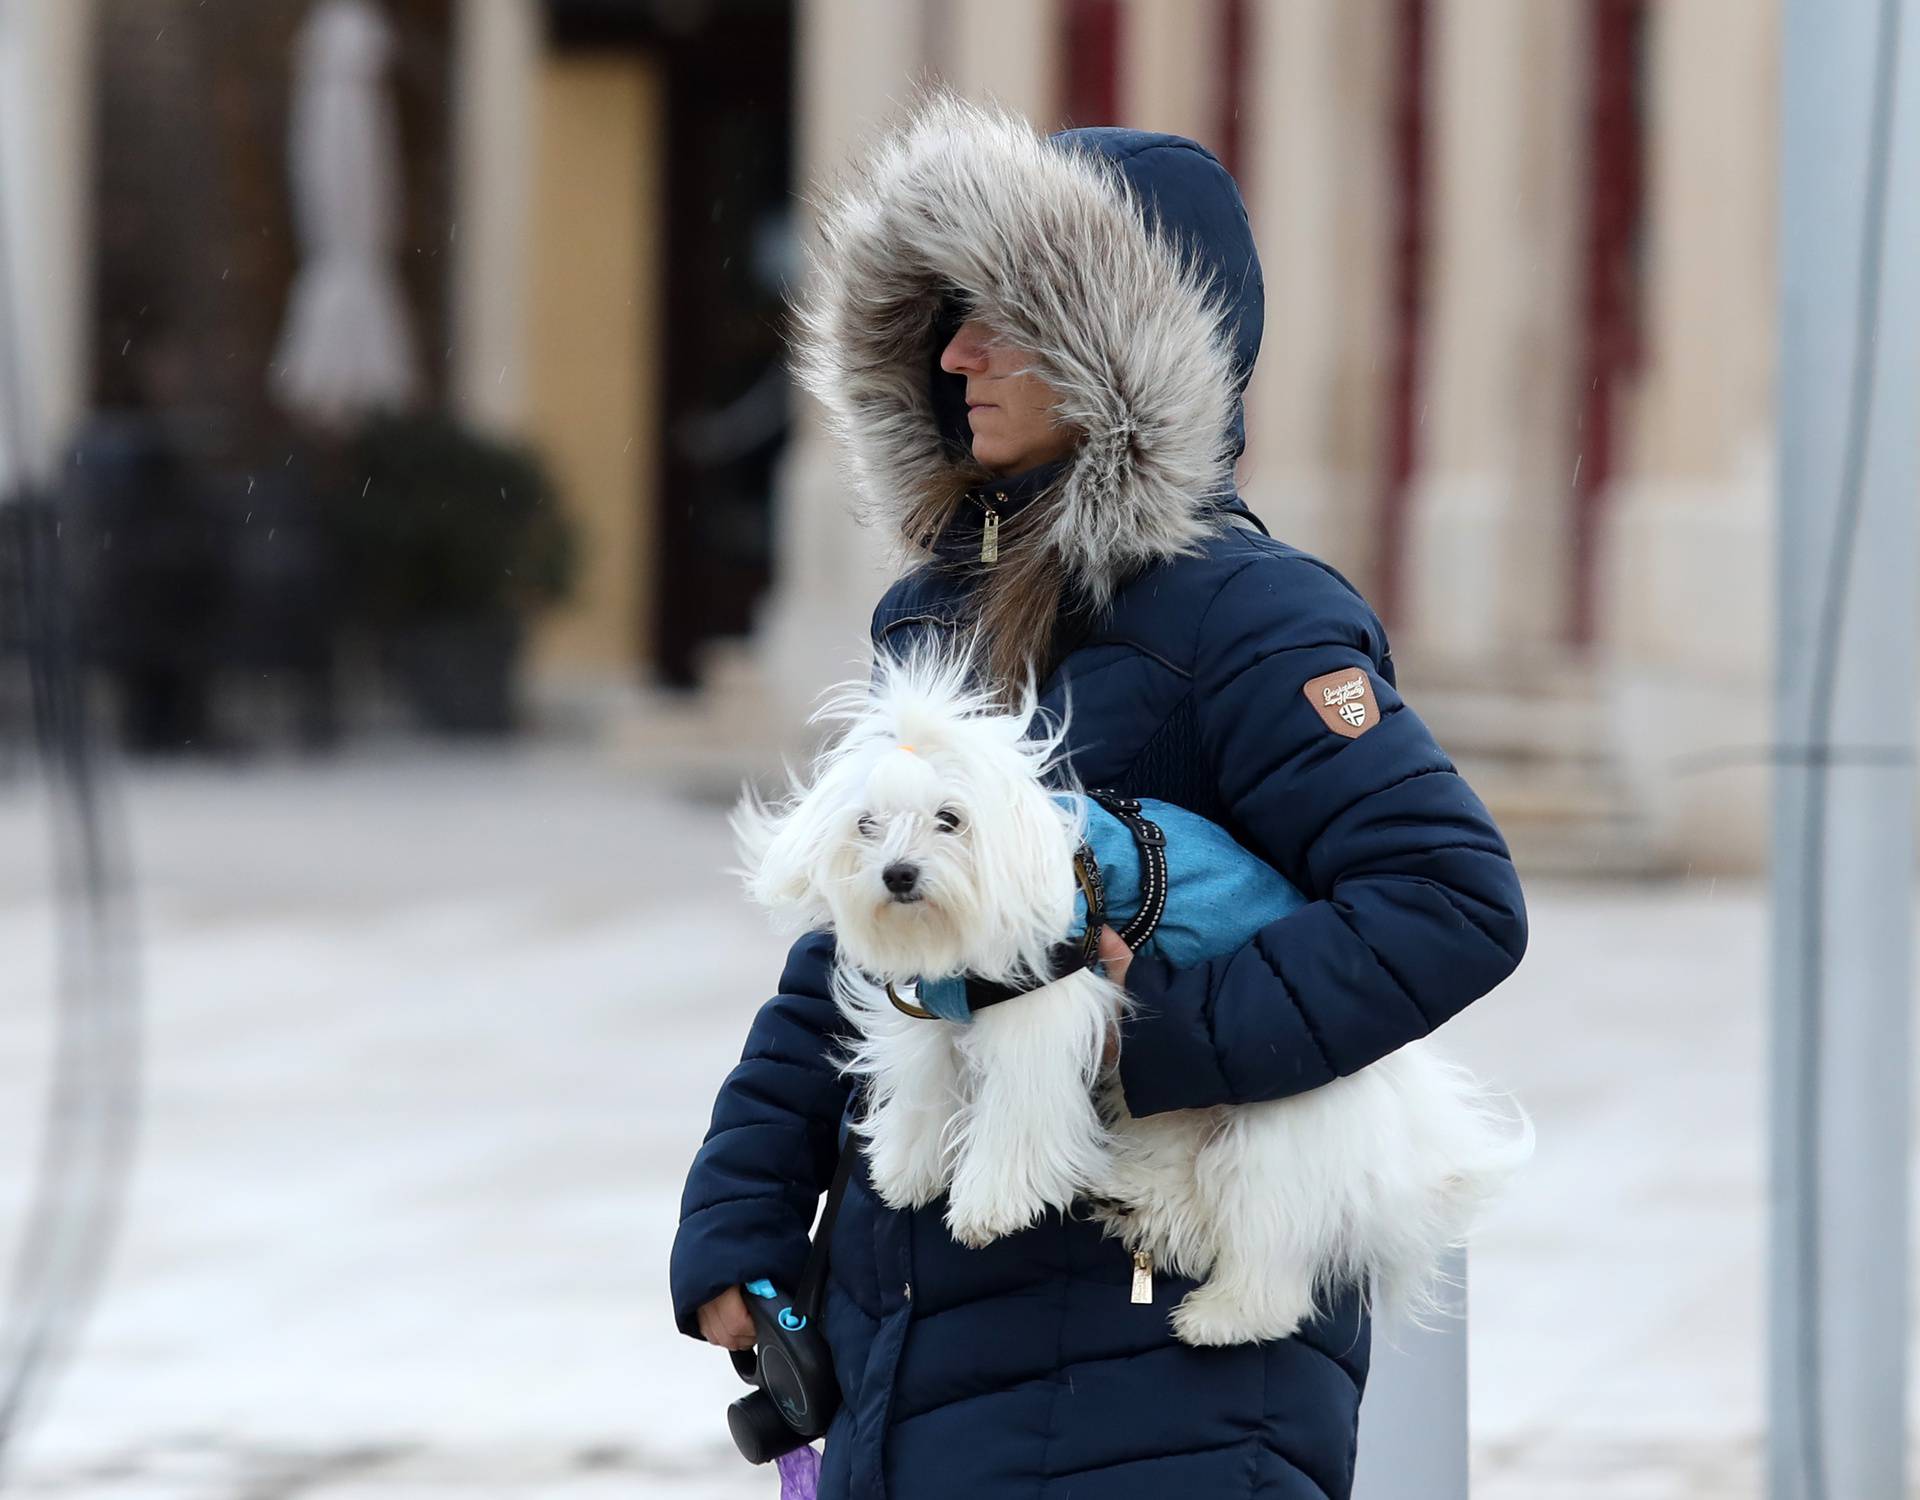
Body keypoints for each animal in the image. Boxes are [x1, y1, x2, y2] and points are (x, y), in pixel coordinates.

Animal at [733, 645, 1528, 1344]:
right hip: (1175, 1113)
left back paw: (1223, 1317)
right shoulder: (939, 1007)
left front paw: (987, 1205)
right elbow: (927, 1083)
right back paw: (1141, 1203)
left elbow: (1016, 1114)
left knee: (1272, 1249)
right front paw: (904, 1168)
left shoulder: (1045, 1006)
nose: (897, 874)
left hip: (1274, 1134)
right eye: (866, 826)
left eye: (949, 820)